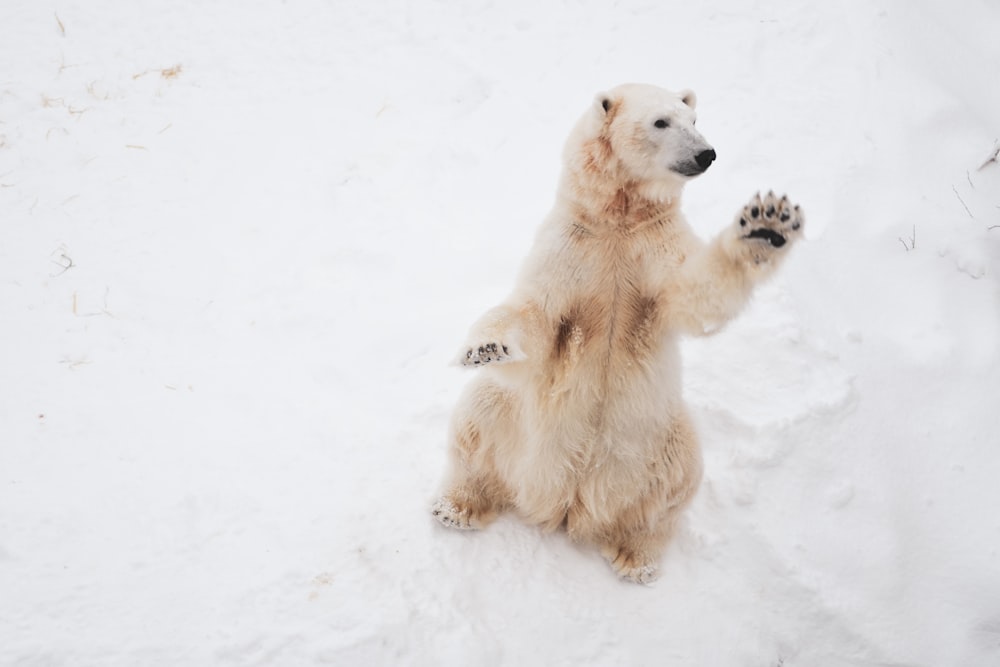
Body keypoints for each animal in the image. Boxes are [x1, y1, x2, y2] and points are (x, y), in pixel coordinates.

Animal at [430, 82, 804, 584]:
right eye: (661, 122)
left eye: (694, 119)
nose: (706, 154)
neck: (618, 220)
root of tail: (569, 504)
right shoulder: (571, 244)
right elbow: (535, 314)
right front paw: (486, 346)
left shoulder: (655, 246)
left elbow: (695, 293)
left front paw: (766, 226)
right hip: (517, 425)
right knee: (479, 414)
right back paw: (456, 507)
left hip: (660, 438)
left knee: (674, 484)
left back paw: (636, 556)